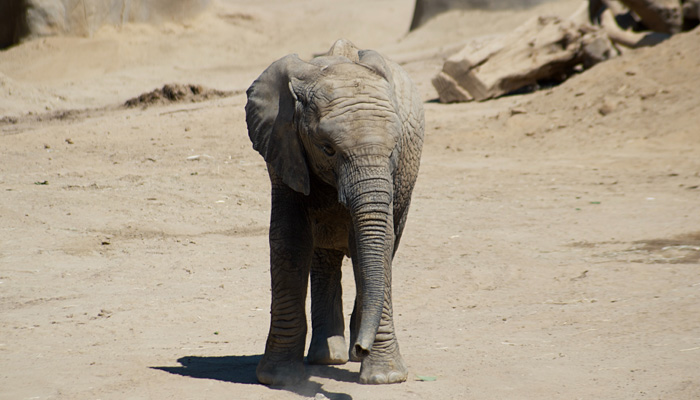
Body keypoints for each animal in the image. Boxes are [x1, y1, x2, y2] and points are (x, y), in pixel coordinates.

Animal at [245, 39, 424, 385]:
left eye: (394, 149)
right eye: (327, 149)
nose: (361, 349)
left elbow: (378, 242)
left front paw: (385, 378)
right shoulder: (283, 148)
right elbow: (289, 240)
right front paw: (279, 379)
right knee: (324, 257)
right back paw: (328, 358)